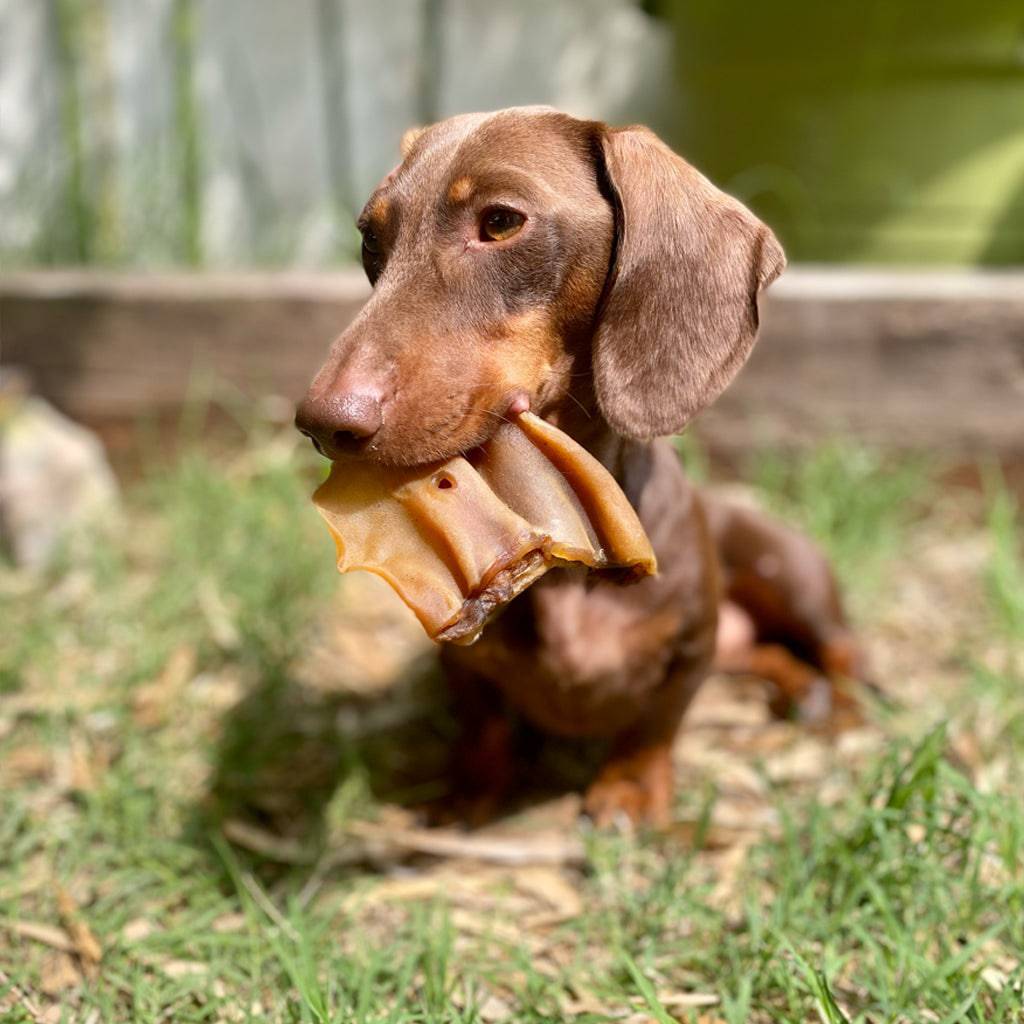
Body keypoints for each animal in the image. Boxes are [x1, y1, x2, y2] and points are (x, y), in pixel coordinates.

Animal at [296, 105, 864, 823]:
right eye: (372, 237)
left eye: (500, 222)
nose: (320, 423)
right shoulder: (464, 665)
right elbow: (483, 722)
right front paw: (469, 793)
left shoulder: (692, 648)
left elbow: (655, 724)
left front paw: (629, 791)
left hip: (792, 576)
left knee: (842, 649)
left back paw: (843, 708)